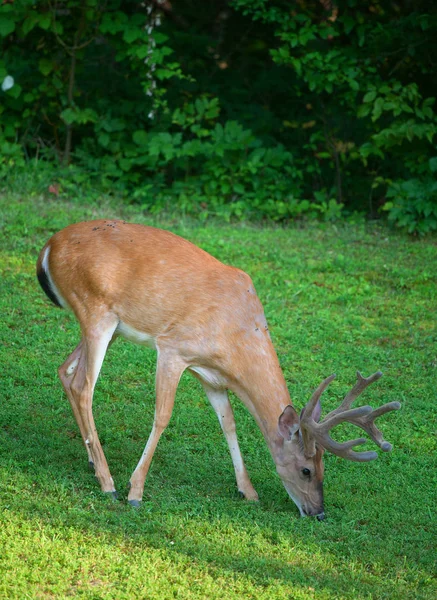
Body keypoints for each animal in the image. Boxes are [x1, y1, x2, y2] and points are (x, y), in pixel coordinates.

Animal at [35, 218, 400, 516]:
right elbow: (162, 416)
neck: (235, 337)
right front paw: (135, 491)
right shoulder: (173, 348)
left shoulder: (211, 376)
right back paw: (108, 483)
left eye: (324, 467)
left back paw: (92, 459)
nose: (318, 512)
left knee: (66, 371)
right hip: (96, 311)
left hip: (108, 326)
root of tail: (48, 247)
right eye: (306, 470)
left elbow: (229, 424)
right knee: (83, 386)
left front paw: (248, 491)